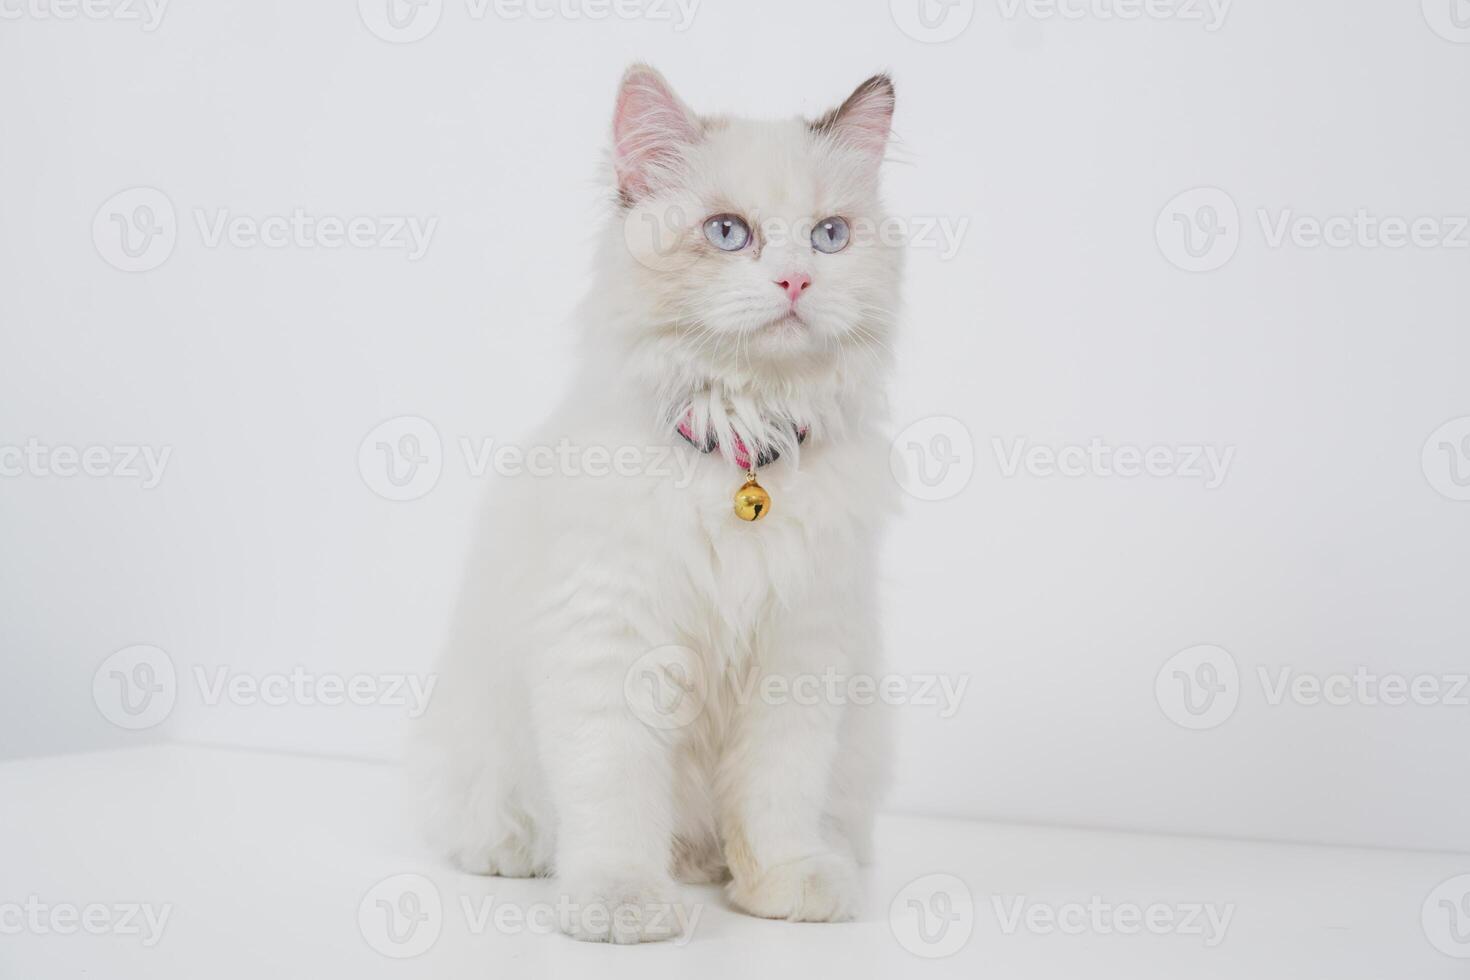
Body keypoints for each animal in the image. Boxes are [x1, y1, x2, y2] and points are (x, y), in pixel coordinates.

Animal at [417, 65, 905, 946]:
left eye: (829, 237)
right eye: (727, 233)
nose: (797, 281)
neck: (743, 445)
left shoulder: (799, 656)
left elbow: (779, 795)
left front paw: (784, 885)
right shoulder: (611, 641)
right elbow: (613, 794)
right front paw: (620, 905)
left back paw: (720, 865)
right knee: (501, 820)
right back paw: (522, 857)